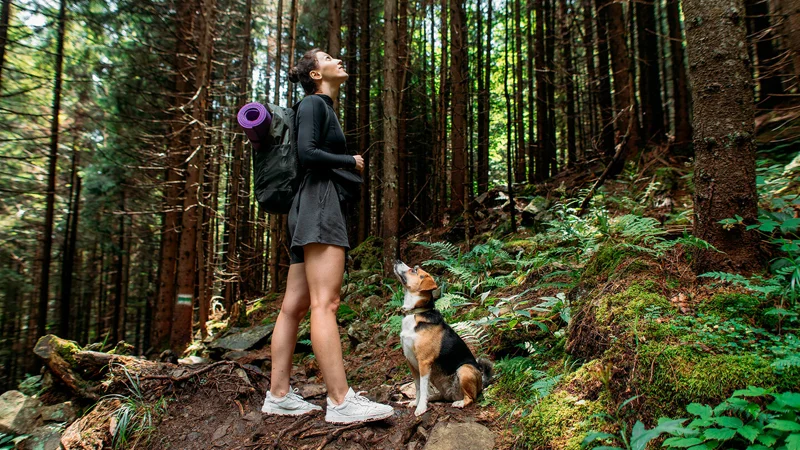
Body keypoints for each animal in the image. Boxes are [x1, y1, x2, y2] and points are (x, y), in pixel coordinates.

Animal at [390, 262, 490, 416]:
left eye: (414, 270)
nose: (397, 261)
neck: (416, 313)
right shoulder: (410, 361)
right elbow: (418, 387)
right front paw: (416, 403)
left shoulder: (424, 362)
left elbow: (423, 387)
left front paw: (421, 408)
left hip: (464, 369)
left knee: (471, 397)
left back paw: (460, 402)